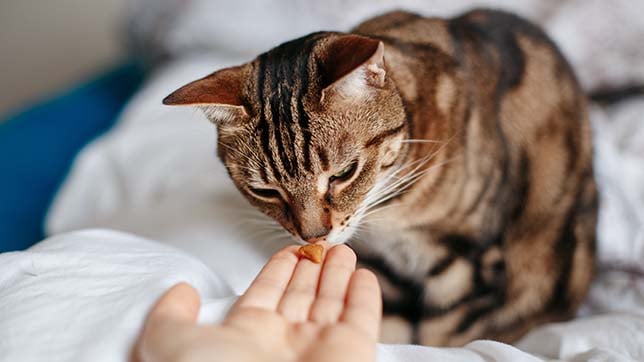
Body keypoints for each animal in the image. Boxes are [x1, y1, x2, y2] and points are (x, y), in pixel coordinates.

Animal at [164, 8, 596, 346]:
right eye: (264, 191)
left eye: (343, 173)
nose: (313, 236)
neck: (390, 216)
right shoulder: (382, 270)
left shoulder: (468, 266)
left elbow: (442, 338)